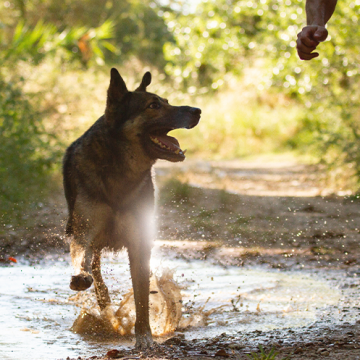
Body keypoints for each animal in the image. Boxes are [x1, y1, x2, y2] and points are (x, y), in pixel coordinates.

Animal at [63, 68, 201, 348]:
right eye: (153, 105)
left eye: (167, 101)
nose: (198, 111)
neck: (121, 172)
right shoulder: (84, 231)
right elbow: (82, 257)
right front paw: (80, 277)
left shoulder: (139, 241)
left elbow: (141, 297)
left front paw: (145, 336)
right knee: (96, 270)